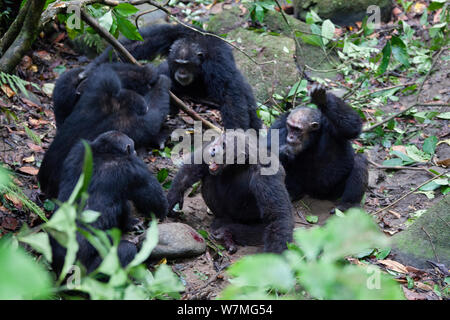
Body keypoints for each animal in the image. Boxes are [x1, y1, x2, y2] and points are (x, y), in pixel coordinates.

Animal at [38, 62, 171, 198]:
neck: (120, 106)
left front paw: (148, 72)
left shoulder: (103, 85)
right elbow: (155, 114)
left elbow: (103, 71)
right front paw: (162, 81)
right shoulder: (140, 124)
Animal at [49, 131, 169, 276]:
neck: (105, 152)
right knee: (127, 250)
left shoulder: (77, 150)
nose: (135, 152)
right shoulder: (134, 168)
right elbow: (156, 202)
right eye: (133, 147)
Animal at [83, 22, 264, 130]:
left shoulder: (218, 60)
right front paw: (90, 69)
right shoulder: (175, 32)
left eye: (187, 65)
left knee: (243, 91)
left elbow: (229, 94)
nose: (182, 72)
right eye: (178, 63)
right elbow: (143, 42)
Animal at [268, 84, 368, 214]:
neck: (312, 138)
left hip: (336, 191)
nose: (291, 136)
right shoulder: (279, 125)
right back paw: (291, 193)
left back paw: (347, 204)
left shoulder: (331, 126)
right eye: (290, 126)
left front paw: (323, 100)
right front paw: (285, 151)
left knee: (359, 160)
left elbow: (352, 126)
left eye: (297, 129)